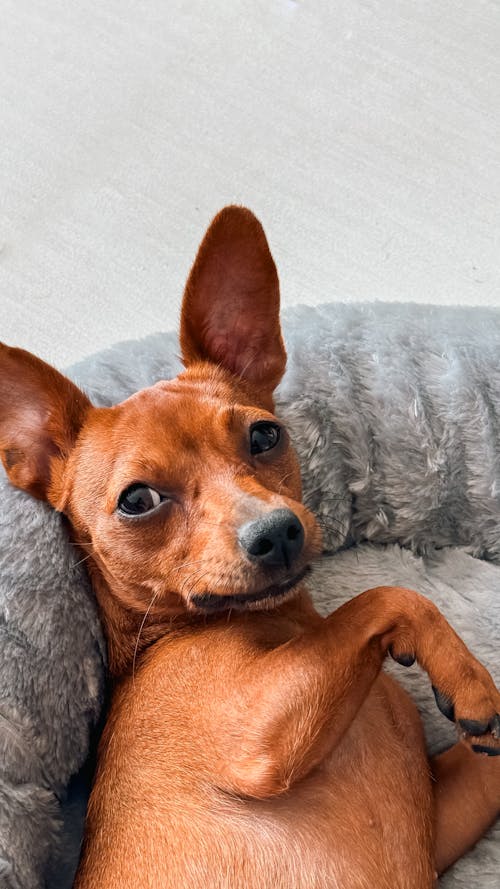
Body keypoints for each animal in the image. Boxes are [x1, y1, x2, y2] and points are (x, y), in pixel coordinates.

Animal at [0, 205, 500, 884]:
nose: (276, 532)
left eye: (265, 436)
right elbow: (387, 595)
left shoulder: (444, 817)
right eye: (137, 500)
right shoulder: (256, 738)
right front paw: (471, 679)